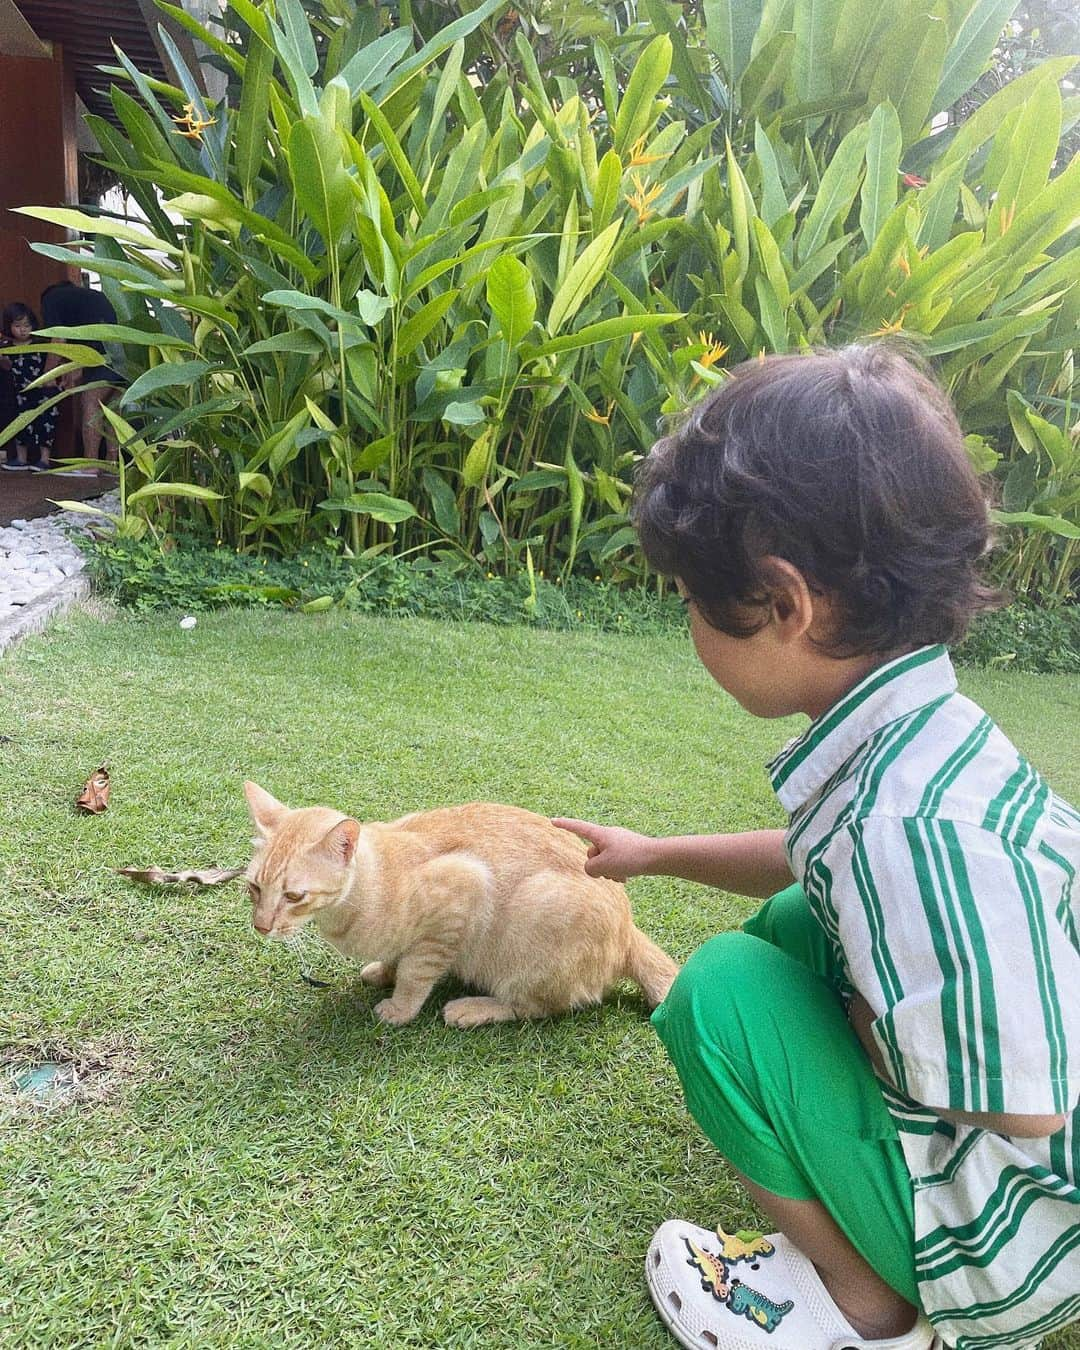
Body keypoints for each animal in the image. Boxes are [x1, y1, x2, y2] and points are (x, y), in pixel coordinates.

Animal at [248, 783, 680, 1020]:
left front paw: (399, 1008)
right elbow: (395, 960)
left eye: (294, 896)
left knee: (541, 1007)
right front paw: (383, 973)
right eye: (253, 888)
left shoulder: (461, 894)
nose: (260, 926)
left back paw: (472, 1009)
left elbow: (414, 973)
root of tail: (630, 930)